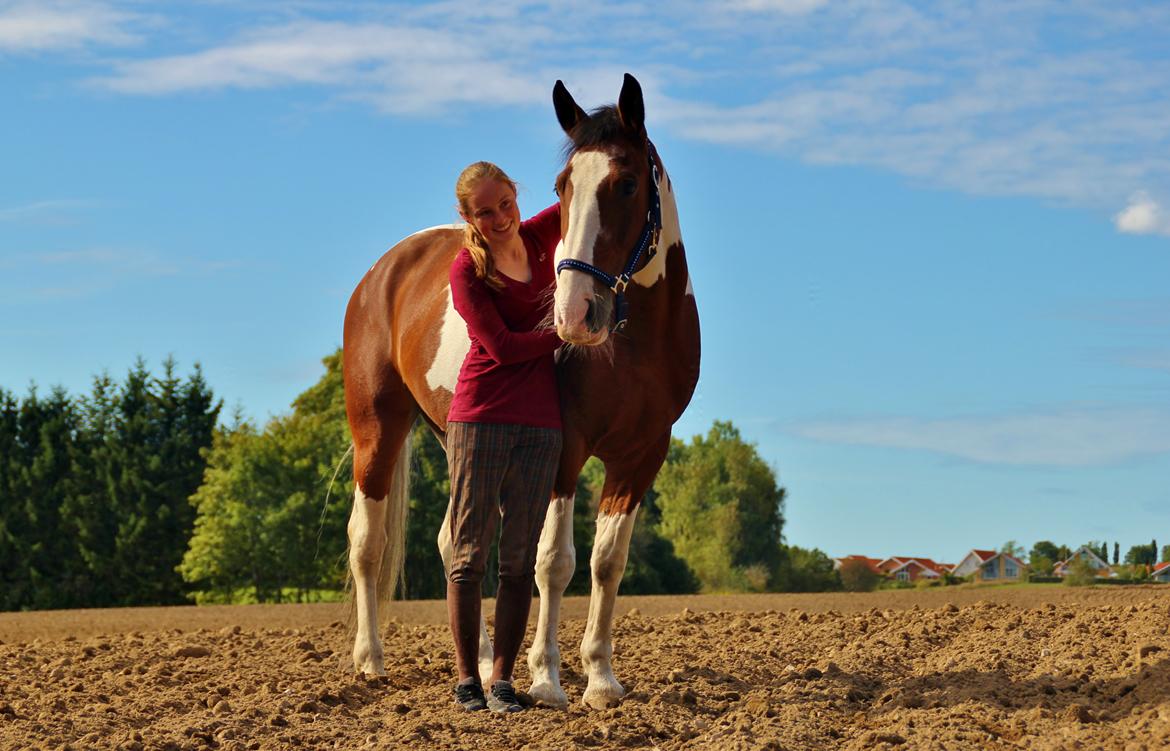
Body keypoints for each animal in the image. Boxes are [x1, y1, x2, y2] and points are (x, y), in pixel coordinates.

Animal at [341, 71, 697, 706]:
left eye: (627, 183)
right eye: (562, 187)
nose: (576, 314)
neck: (637, 342)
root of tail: (384, 270)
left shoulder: (643, 455)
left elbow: (608, 561)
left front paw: (601, 678)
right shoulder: (565, 448)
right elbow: (553, 561)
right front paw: (547, 678)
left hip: (453, 437)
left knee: (455, 542)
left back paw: (482, 663)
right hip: (377, 432)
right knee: (368, 542)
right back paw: (371, 659)